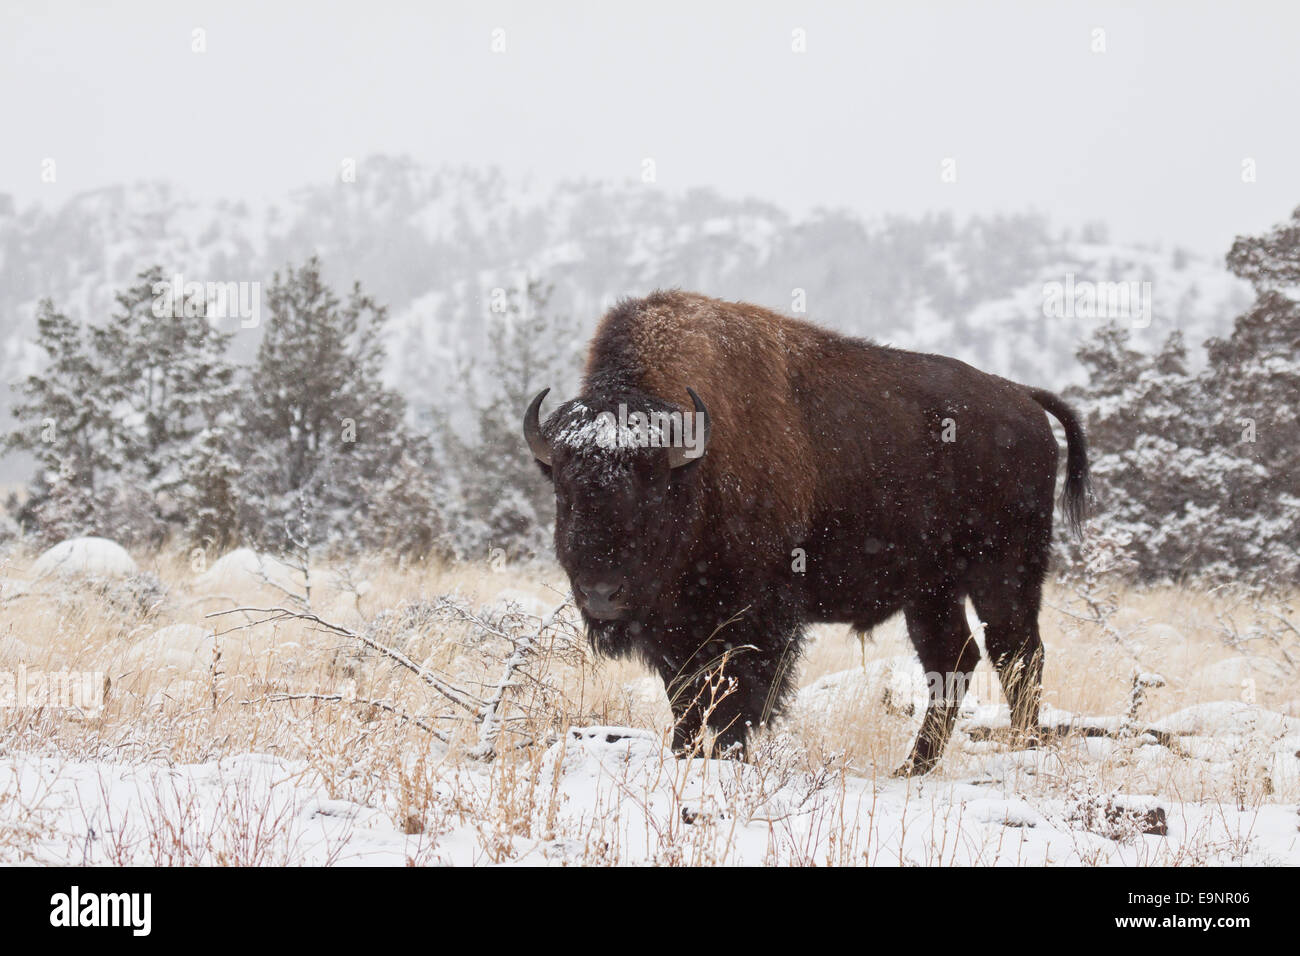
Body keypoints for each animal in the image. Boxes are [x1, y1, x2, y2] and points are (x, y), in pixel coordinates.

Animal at [525, 287, 1086, 775]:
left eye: (653, 488)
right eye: (565, 491)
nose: (602, 593)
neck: (697, 464)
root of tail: (1023, 398)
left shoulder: (755, 616)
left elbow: (737, 695)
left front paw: (726, 756)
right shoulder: (673, 627)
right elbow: (687, 696)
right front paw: (686, 754)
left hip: (1004, 573)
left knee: (1017, 654)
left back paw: (1021, 751)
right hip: (931, 591)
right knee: (954, 659)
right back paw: (912, 768)